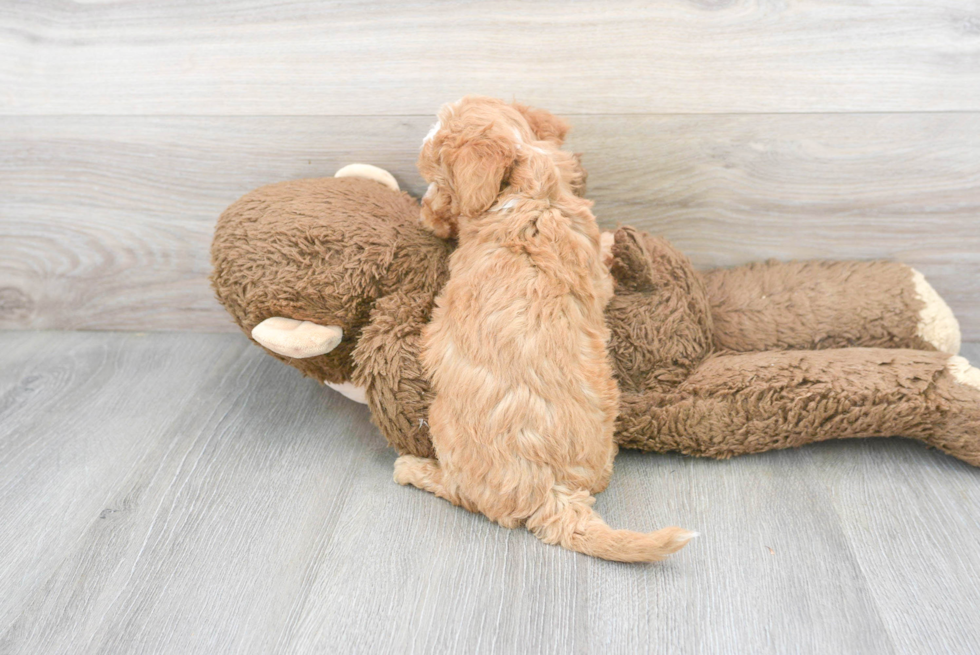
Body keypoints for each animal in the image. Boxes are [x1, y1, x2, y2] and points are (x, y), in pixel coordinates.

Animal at [394, 97, 692, 564]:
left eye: (436, 180)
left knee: (460, 492)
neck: (530, 192)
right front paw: (614, 242)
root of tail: (549, 493)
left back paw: (411, 468)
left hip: (444, 425)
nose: (423, 214)